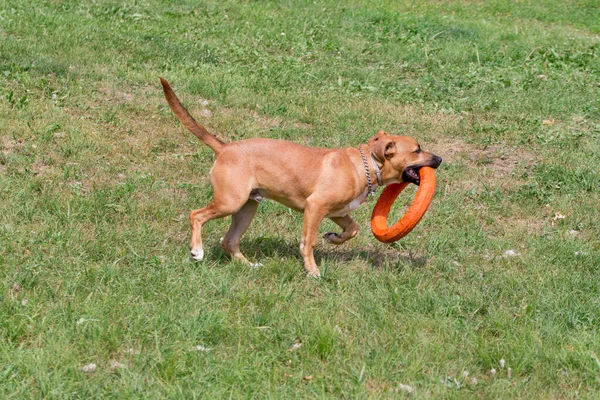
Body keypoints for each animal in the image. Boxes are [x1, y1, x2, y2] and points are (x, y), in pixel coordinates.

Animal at [159, 79, 440, 276]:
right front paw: (313, 270)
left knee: (229, 241)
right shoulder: (315, 207)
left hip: (246, 208)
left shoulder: (338, 212)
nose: (439, 160)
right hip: (230, 201)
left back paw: (248, 266)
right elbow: (309, 242)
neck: (365, 165)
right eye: (417, 150)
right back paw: (197, 251)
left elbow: (353, 229)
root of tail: (225, 148)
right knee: (196, 215)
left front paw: (334, 238)